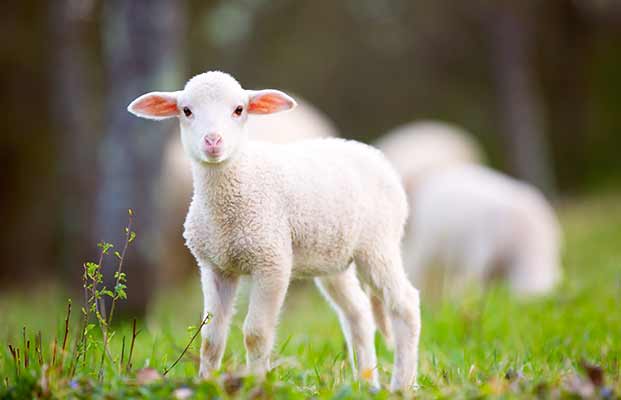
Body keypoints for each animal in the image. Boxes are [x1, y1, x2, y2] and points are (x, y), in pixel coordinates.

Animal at [126, 71, 418, 390]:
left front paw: (255, 384)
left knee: (405, 305)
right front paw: (207, 383)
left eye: (239, 109)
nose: (213, 141)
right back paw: (366, 383)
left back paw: (401, 385)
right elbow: (211, 339)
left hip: (379, 244)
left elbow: (256, 334)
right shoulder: (214, 266)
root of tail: (375, 154)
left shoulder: (271, 261)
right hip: (334, 258)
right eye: (186, 111)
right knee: (358, 312)